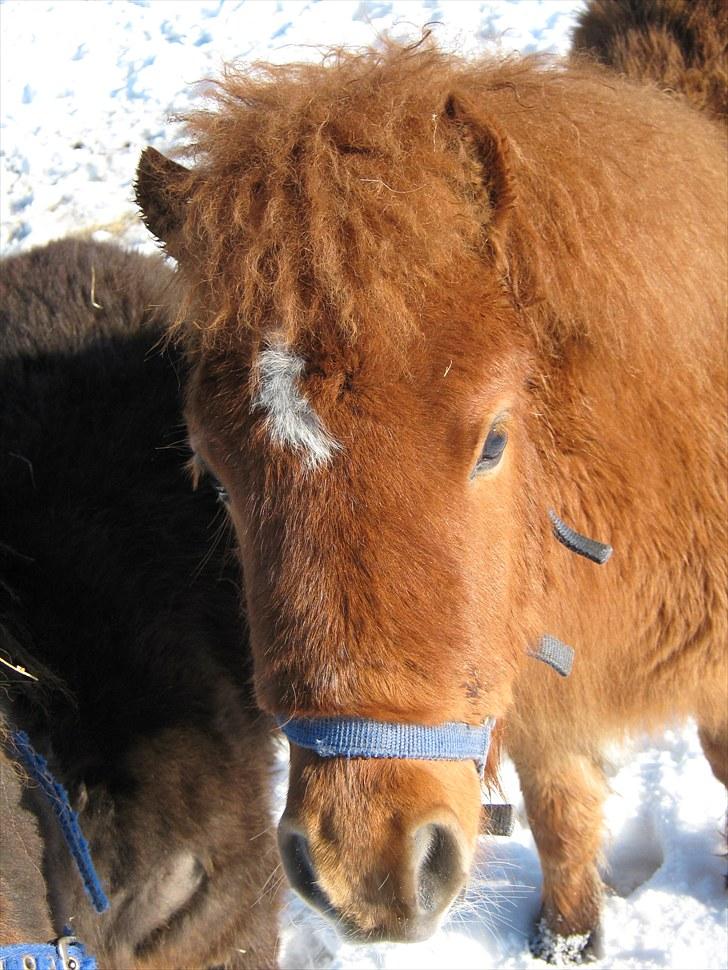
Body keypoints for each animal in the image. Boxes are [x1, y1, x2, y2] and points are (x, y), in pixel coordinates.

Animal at [135, 0, 728, 960]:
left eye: (492, 443)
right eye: (218, 478)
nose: (365, 864)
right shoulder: (528, 684)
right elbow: (560, 809)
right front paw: (569, 937)